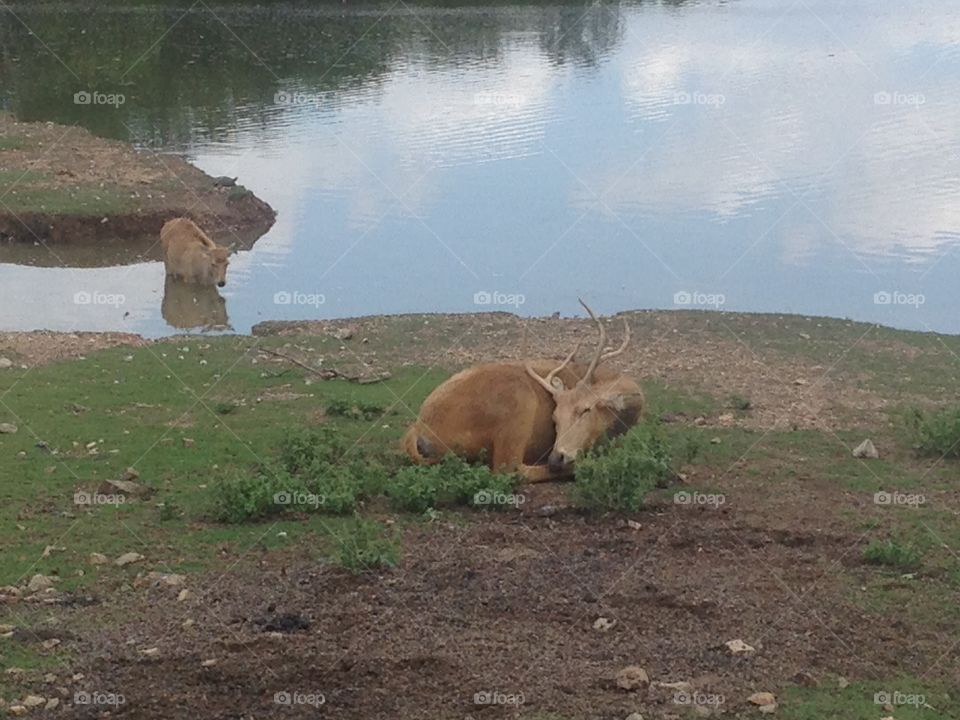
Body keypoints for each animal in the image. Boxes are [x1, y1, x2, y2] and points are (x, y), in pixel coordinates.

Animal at [403, 300, 644, 482]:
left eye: (586, 410)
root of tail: (418, 429)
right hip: (518, 403)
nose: (556, 458)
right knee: (509, 469)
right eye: (554, 418)